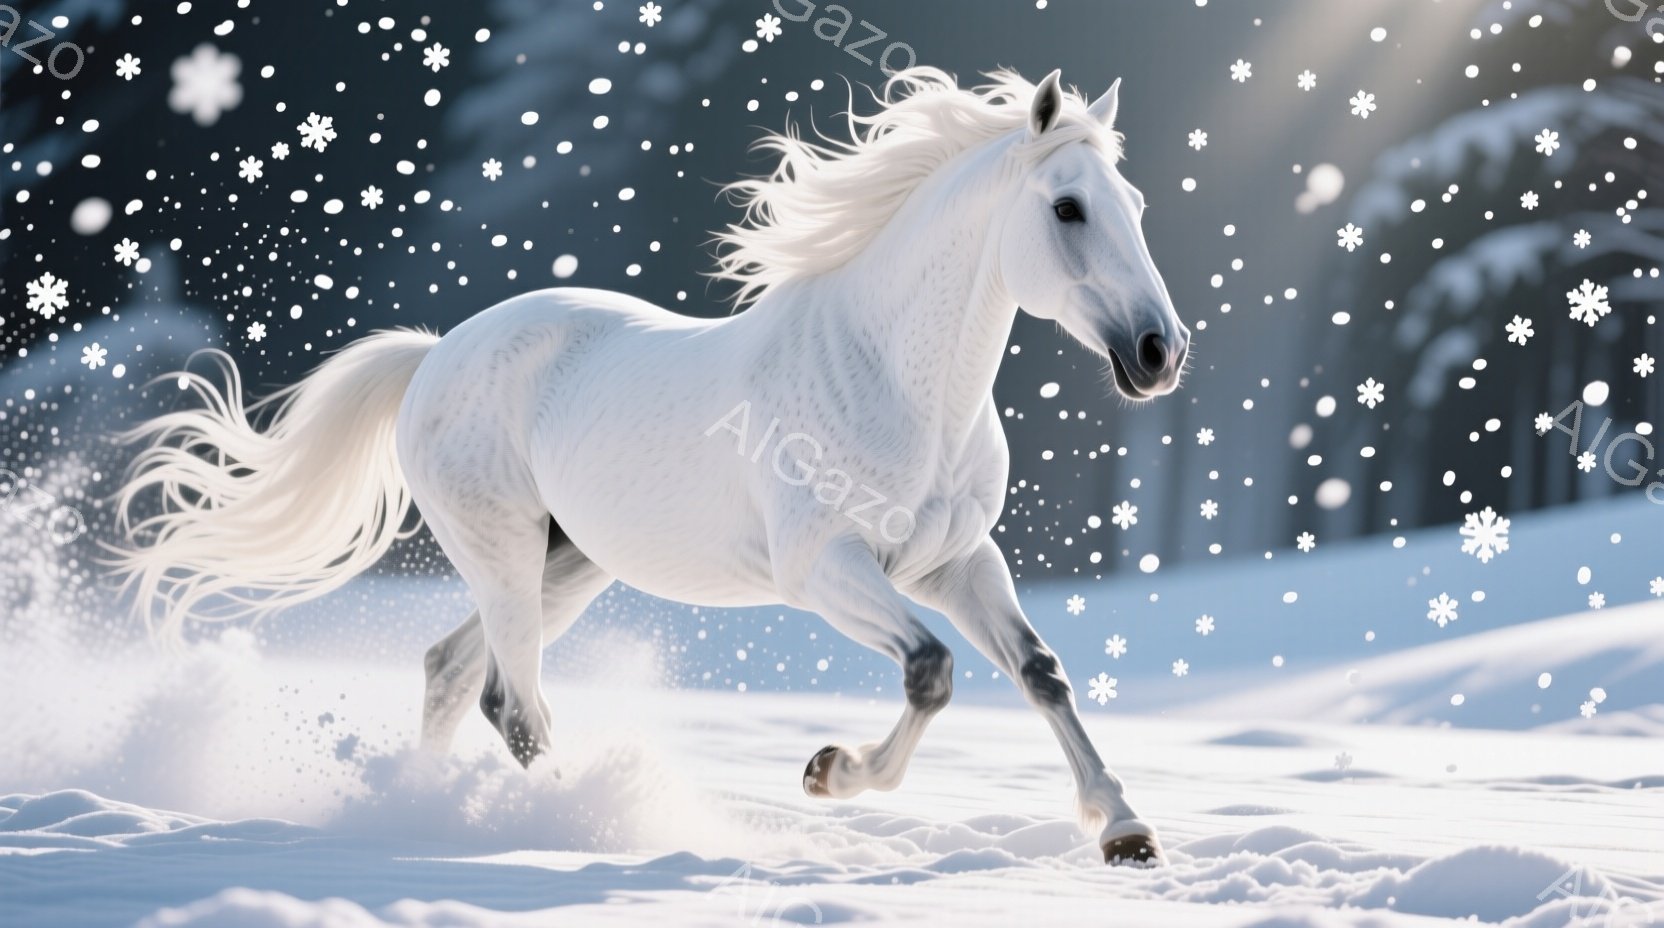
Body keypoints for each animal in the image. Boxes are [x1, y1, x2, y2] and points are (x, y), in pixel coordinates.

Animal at [112, 66, 1190, 866]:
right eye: (1066, 208)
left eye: (1134, 203)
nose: (1159, 352)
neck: (893, 380)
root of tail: (432, 355)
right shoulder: (824, 568)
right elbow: (930, 671)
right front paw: (827, 772)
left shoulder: (957, 562)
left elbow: (1041, 671)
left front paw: (1127, 829)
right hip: (503, 552)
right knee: (512, 701)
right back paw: (577, 824)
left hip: (567, 564)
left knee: (452, 672)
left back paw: (428, 810)